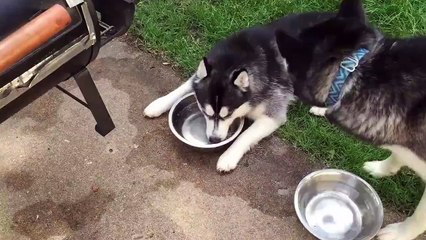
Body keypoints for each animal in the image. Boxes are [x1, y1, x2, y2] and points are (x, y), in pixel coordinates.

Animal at [143, 11, 332, 172]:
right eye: (206, 113)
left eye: (228, 115)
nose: (214, 140)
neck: (233, 62)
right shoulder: (201, 76)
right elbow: (183, 87)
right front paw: (158, 104)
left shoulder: (273, 114)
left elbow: (245, 135)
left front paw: (228, 156)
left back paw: (322, 108)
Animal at [274, 0, 426, 239]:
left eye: (286, 63)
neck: (353, 70)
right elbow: (399, 154)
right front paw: (382, 169)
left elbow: (421, 215)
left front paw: (400, 233)